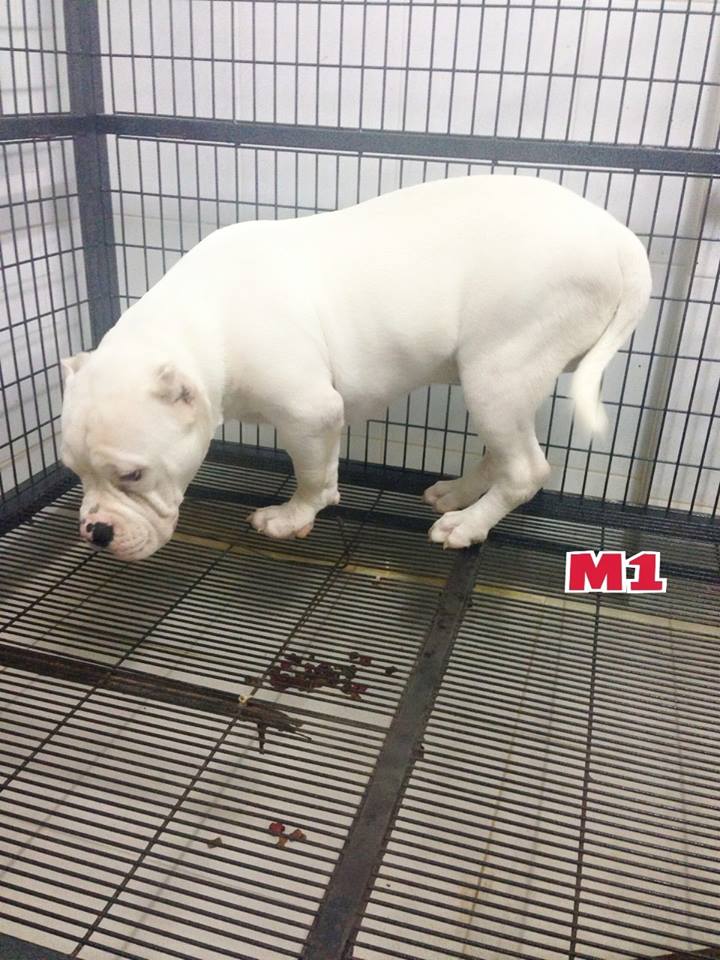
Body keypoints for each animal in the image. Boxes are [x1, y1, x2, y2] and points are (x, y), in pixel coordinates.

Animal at [60, 175, 651, 561]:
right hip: (496, 381)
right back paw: (459, 493)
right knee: (503, 455)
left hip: (498, 373)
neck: (198, 319)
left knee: (525, 470)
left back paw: (466, 524)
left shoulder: (311, 414)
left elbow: (313, 476)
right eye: (75, 473)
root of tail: (619, 238)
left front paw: (292, 517)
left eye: (133, 475)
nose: (96, 531)